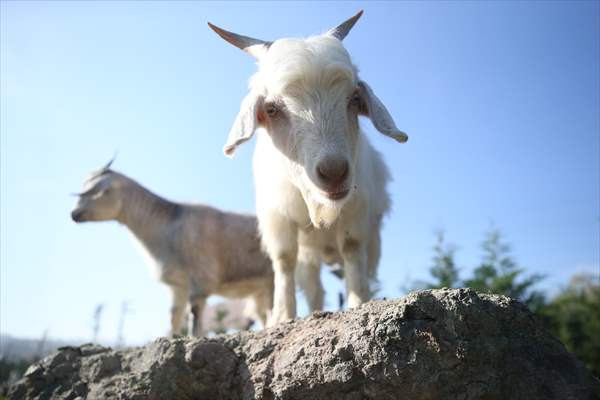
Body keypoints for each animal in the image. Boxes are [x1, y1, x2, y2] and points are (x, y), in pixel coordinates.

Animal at [71, 161, 274, 336]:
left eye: (103, 191)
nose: (74, 214)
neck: (169, 226)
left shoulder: (201, 280)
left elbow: (194, 316)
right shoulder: (178, 285)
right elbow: (174, 316)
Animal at [210, 10, 408, 324]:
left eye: (354, 98)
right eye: (272, 108)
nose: (334, 172)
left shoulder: (358, 211)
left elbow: (352, 250)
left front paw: (358, 303)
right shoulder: (277, 219)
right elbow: (284, 260)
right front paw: (283, 317)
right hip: (310, 253)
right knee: (315, 287)